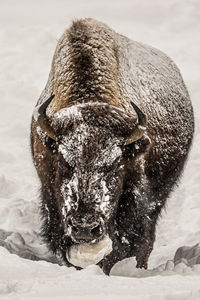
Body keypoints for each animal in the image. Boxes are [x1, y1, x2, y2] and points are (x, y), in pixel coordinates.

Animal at [30, 18, 194, 274]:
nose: (85, 227)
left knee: (146, 237)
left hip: (159, 197)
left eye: (116, 164)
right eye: (63, 161)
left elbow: (122, 243)